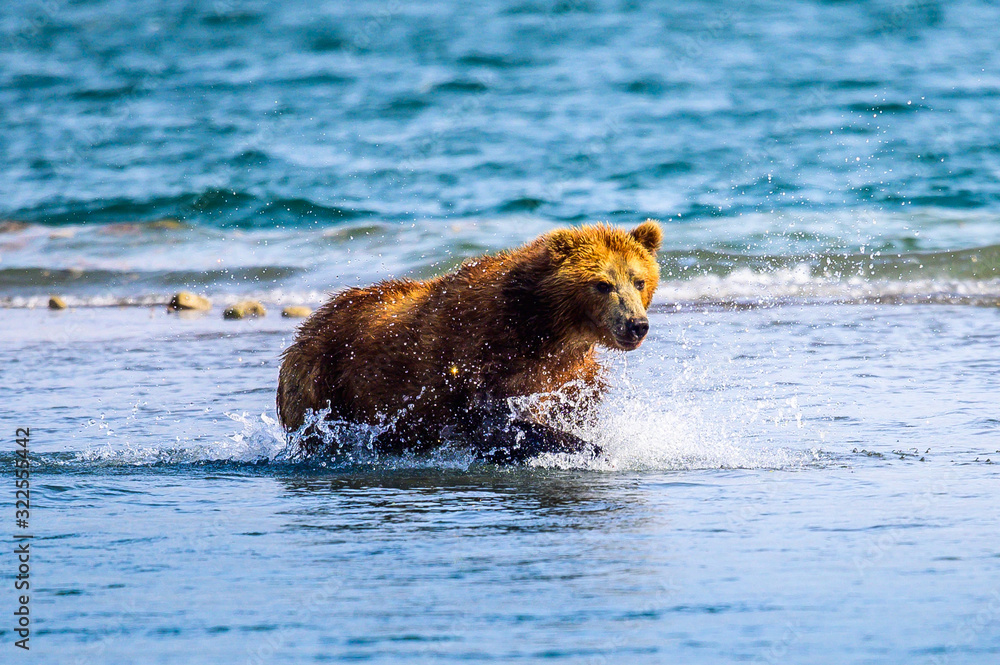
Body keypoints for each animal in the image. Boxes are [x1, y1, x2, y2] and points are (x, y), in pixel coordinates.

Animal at [278, 220, 660, 460]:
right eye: (602, 284)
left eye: (638, 280)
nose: (637, 324)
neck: (545, 325)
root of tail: (311, 321)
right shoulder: (482, 354)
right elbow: (493, 420)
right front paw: (586, 448)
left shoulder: (572, 377)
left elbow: (573, 409)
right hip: (321, 379)